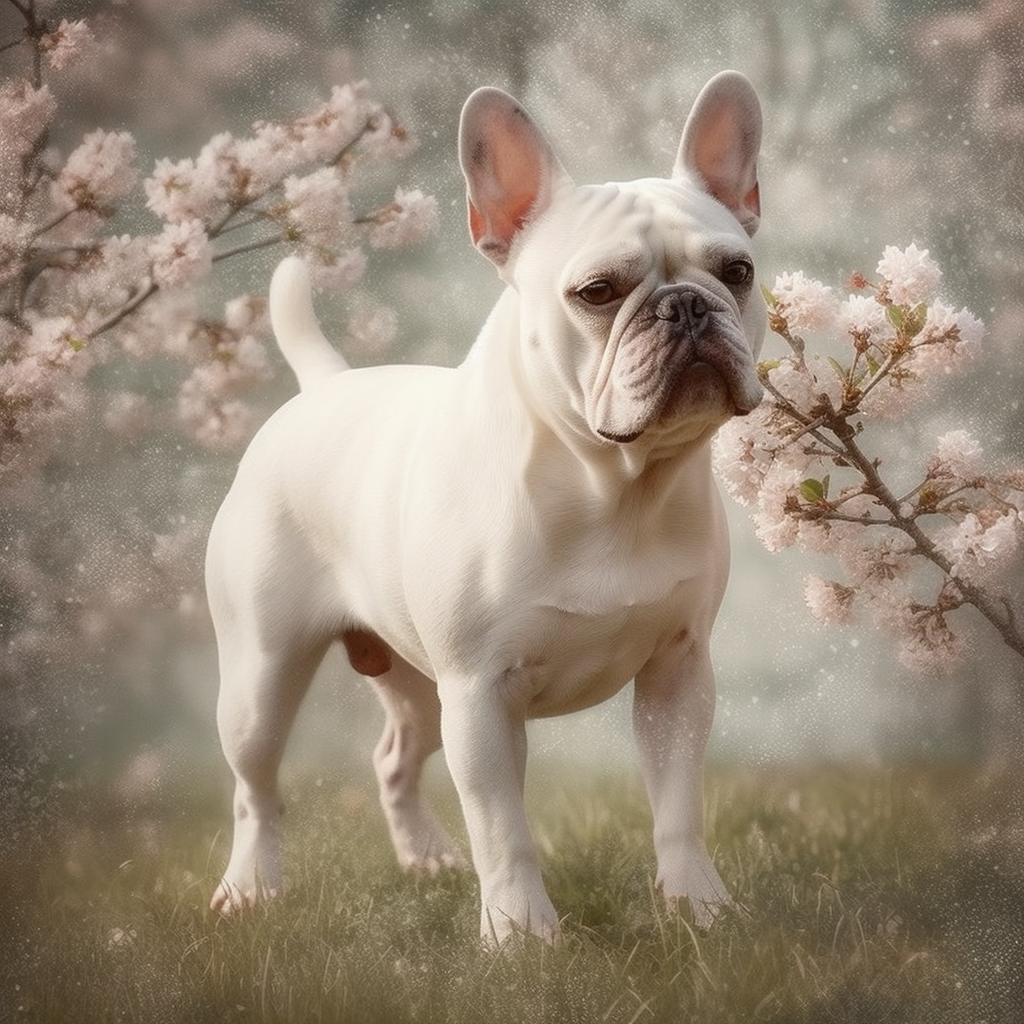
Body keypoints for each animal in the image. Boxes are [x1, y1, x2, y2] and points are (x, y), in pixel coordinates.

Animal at [207, 72, 765, 942]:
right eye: (597, 292)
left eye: (736, 271)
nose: (687, 305)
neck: (612, 483)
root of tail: (322, 384)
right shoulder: (479, 694)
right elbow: (504, 828)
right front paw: (521, 935)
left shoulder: (678, 675)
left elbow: (679, 808)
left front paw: (698, 908)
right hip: (263, 676)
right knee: (254, 791)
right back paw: (251, 888)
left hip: (416, 683)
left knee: (393, 759)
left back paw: (428, 859)